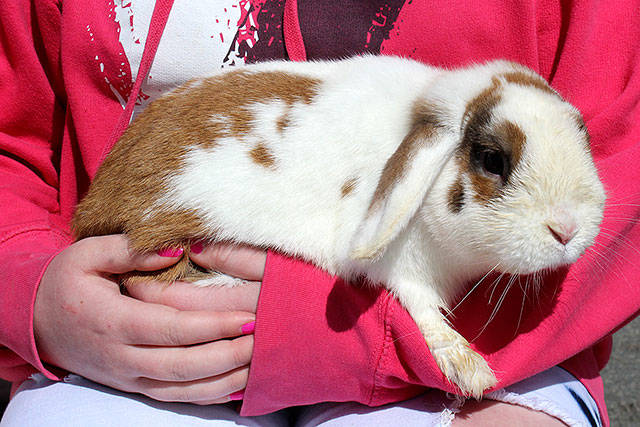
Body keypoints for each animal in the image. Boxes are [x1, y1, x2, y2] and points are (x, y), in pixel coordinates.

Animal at [73, 54, 606, 399]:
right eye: (493, 160)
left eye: (581, 133)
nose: (568, 230)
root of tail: (91, 210)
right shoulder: (403, 269)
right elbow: (423, 311)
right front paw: (470, 371)